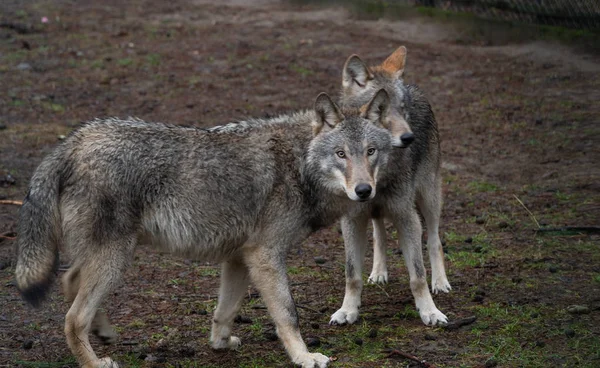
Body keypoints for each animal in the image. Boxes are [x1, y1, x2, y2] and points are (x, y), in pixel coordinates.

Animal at [14, 90, 394, 366]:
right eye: (341, 154)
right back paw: (95, 361)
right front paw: (304, 357)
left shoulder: (240, 258)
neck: (298, 164)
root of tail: (74, 140)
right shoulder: (266, 257)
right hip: (116, 258)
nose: (364, 191)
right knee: (72, 317)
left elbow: (225, 311)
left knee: (69, 281)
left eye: (371, 151)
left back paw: (103, 331)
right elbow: (288, 314)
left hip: (109, 257)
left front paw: (220, 343)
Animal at [328, 46, 450, 328]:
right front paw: (347, 310)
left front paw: (430, 311)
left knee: (435, 239)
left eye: (402, 108)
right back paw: (378, 272)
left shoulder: (407, 217)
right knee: (379, 233)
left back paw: (441, 282)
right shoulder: (352, 219)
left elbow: (418, 275)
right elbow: (352, 274)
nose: (409, 137)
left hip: (429, 198)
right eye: (380, 110)